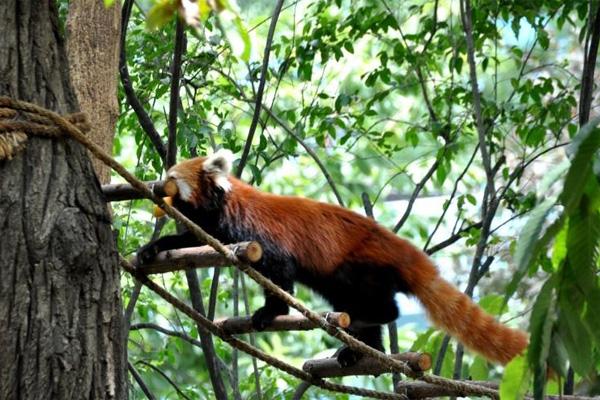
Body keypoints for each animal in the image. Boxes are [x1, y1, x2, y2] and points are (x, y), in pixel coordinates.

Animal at [138, 149, 528, 366]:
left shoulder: (259, 234)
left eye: (171, 177)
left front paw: (270, 312)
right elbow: (186, 240)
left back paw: (366, 321)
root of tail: (409, 255)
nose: (156, 187)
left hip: (361, 266)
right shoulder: (212, 228)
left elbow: (279, 271)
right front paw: (151, 248)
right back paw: (359, 349)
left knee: (383, 305)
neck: (224, 206)